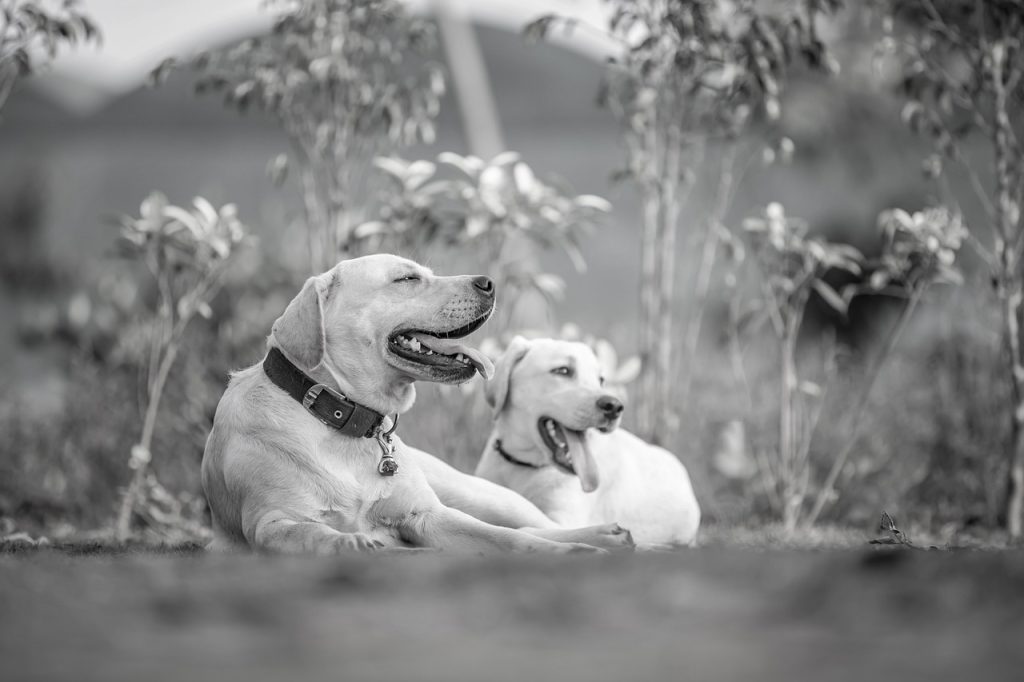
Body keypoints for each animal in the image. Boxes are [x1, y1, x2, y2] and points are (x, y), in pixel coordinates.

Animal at [200, 254, 630, 552]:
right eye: (407, 278)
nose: (489, 282)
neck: (346, 423)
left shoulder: (428, 517)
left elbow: (511, 538)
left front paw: (572, 551)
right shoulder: (269, 524)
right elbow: (313, 534)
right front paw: (350, 541)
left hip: (482, 495)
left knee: (532, 525)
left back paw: (606, 535)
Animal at [473, 335, 700, 548]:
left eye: (601, 380)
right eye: (563, 370)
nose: (614, 406)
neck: (522, 465)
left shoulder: (562, 520)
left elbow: (525, 528)